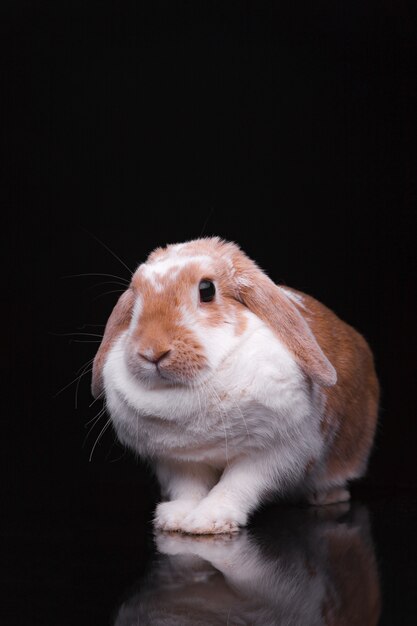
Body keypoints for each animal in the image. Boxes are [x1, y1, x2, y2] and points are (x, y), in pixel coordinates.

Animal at [92, 238, 378, 532]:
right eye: (136, 298)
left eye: (207, 290)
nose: (152, 352)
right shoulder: (178, 460)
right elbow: (189, 488)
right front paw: (176, 518)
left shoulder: (271, 454)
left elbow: (235, 486)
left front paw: (209, 520)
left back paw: (326, 496)